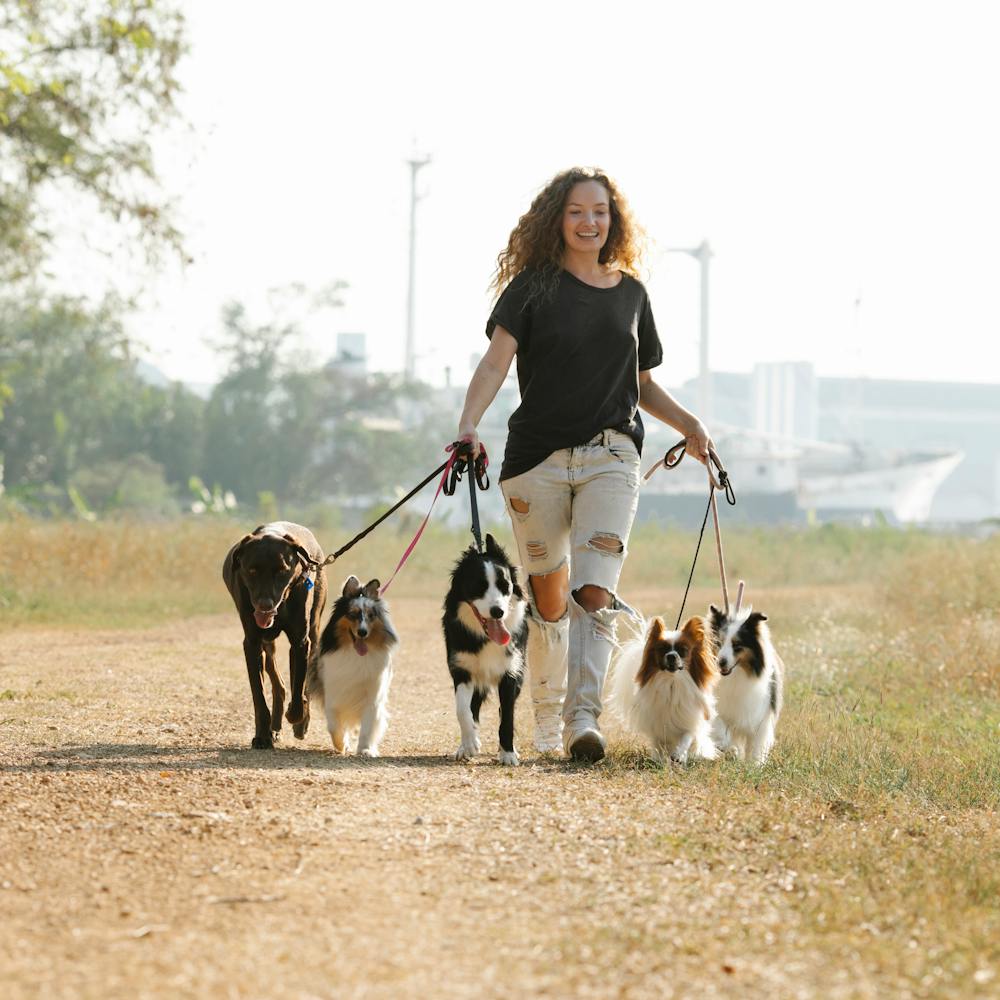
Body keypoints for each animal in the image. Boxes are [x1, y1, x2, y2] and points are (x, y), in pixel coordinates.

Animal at [222, 524, 328, 752]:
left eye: (282, 570)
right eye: (251, 570)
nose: (265, 605)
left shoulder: (300, 642)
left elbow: (299, 687)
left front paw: (298, 716)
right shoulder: (252, 643)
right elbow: (259, 696)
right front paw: (263, 736)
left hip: (314, 629)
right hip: (267, 644)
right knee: (277, 681)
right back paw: (275, 726)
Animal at [306, 576, 396, 752]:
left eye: (370, 615)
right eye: (352, 614)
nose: (362, 632)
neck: (356, 655)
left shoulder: (373, 698)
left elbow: (367, 728)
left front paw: (365, 750)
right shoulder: (333, 693)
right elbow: (334, 726)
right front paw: (341, 745)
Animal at [608, 612, 720, 760]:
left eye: (683, 650)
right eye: (662, 650)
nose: (671, 656)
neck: (671, 682)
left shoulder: (690, 719)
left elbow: (686, 737)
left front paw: (679, 755)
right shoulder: (657, 725)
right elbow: (658, 744)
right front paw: (660, 760)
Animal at [708, 604, 784, 760]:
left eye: (737, 644)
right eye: (718, 643)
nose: (720, 663)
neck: (736, 675)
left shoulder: (761, 715)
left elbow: (756, 747)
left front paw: (754, 764)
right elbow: (720, 726)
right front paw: (728, 746)